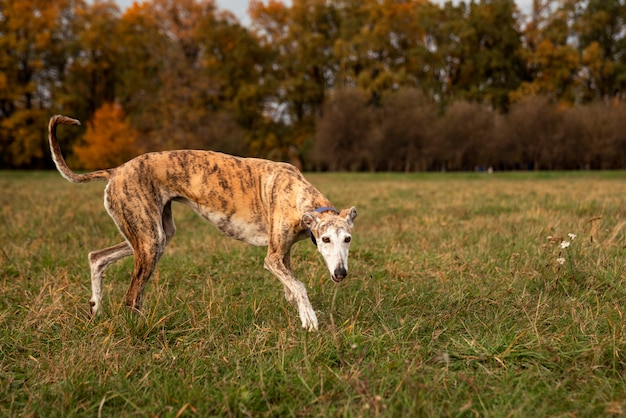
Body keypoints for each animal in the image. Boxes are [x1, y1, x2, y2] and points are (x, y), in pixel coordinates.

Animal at [48, 114, 356, 330]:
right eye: (326, 239)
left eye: (347, 239)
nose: (341, 274)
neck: (303, 199)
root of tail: (115, 170)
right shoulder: (273, 258)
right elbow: (300, 286)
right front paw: (311, 322)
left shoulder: (283, 253)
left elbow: (292, 289)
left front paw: (303, 315)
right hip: (149, 240)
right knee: (131, 296)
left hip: (153, 235)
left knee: (97, 257)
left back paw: (95, 308)